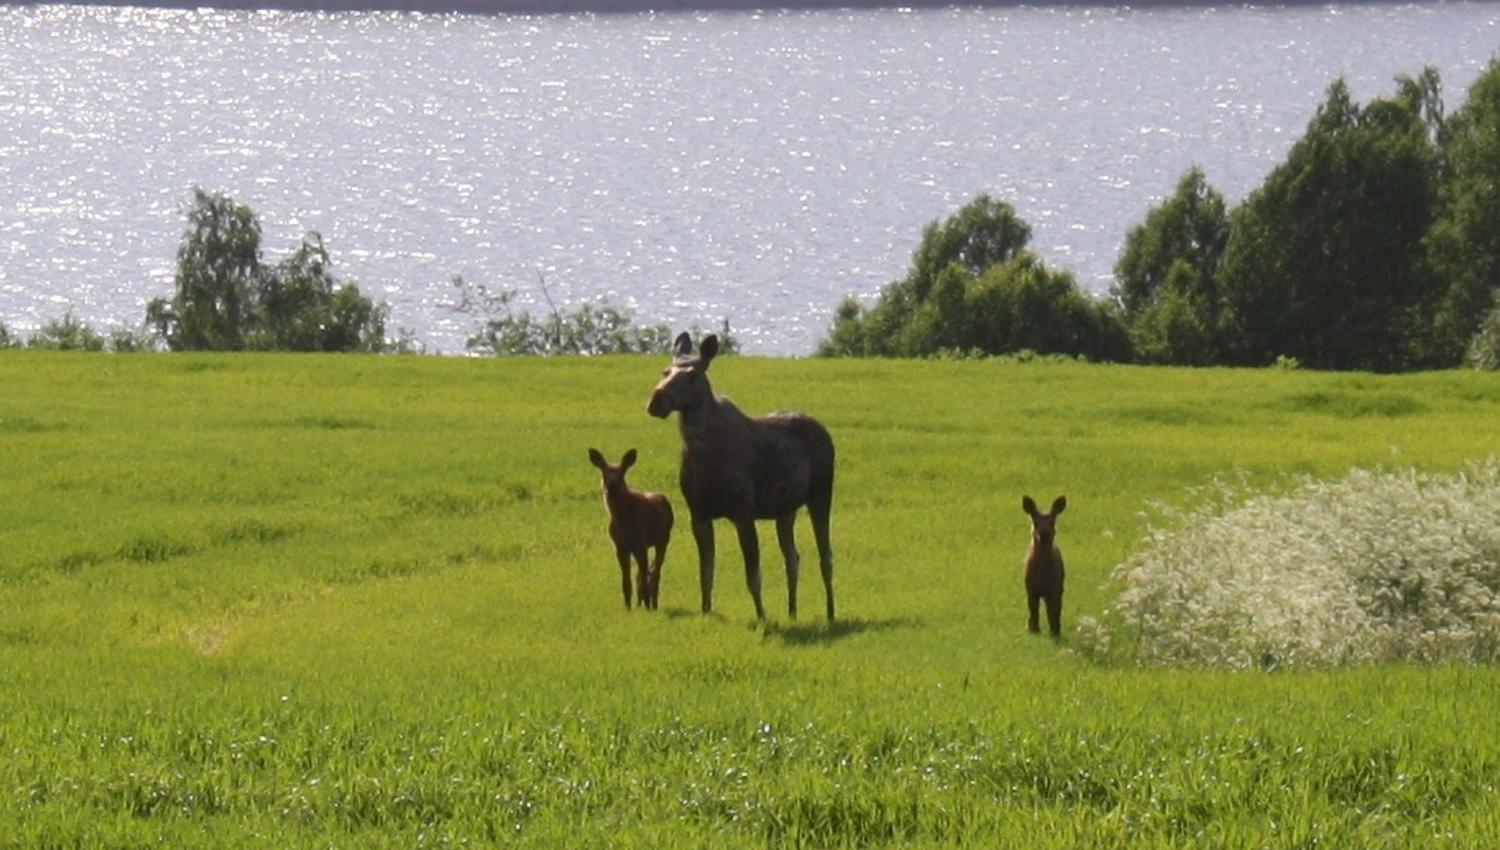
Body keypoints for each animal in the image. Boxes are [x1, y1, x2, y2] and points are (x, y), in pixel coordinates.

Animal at [588, 447, 674, 610]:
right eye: (604, 473)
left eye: (621, 473)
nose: (611, 485)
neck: (622, 518)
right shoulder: (620, 546)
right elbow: (626, 582)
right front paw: (628, 607)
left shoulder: (640, 542)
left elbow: (644, 578)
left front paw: (647, 608)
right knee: (643, 574)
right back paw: (641, 603)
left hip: (663, 539)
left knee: (654, 573)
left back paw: (653, 604)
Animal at [647, 332, 836, 622]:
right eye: (665, 371)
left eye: (692, 374)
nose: (656, 401)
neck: (702, 452)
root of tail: (825, 431)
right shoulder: (698, 514)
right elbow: (706, 573)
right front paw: (706, 611)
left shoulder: (743, 513)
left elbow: (753, 575)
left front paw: (762, 617)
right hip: (785, 509)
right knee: (793, 557)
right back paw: (792, 612)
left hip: (821, 495)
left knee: (825, 556)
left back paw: (830, 613)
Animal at [1022, 495, 1067, 637]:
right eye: (1035, 522)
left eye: (1052, 522)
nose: (1044, 533)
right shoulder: (1030, 589)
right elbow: (1034, 612)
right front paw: (1034, 631)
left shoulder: (1055, 588)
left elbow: (1053, 613)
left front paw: (1055, 633)